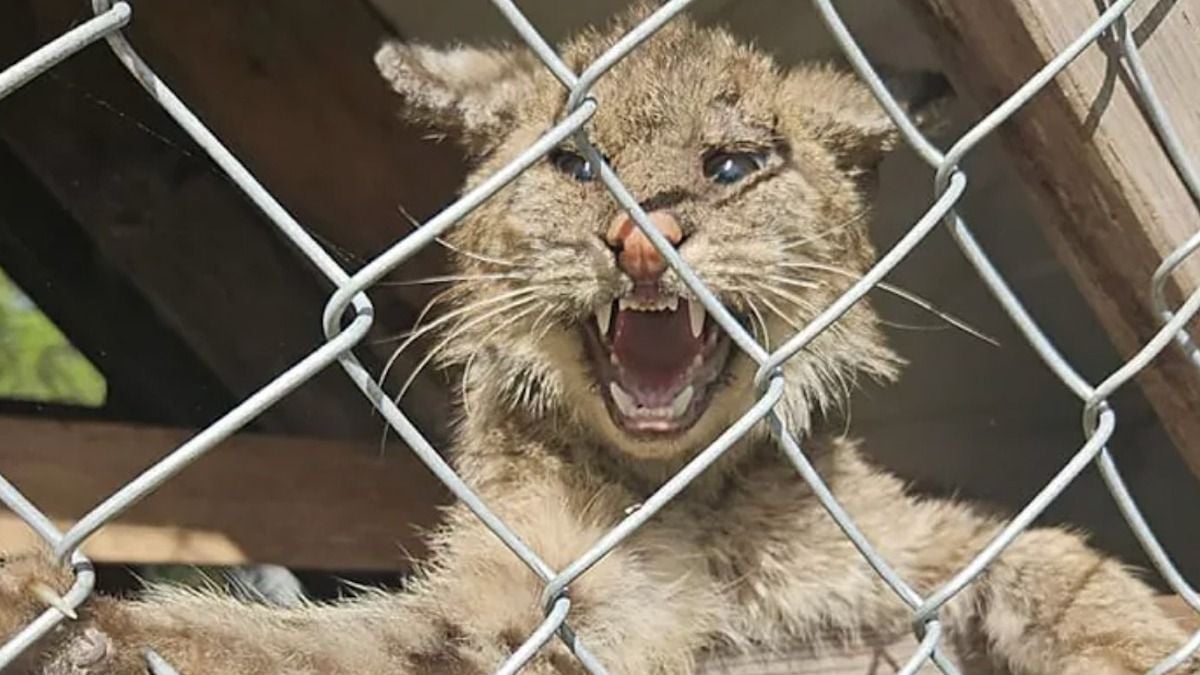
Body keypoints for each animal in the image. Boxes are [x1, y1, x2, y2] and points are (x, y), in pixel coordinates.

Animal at [2, 6, 1200, 672]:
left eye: (732, 166)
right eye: (578, 165)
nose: (642, 236)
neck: (685, 501)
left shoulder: (908, 551)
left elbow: (1051, 557)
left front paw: (1144, 638)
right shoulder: (530, 615)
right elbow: (295, 648)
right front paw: (68, 624)